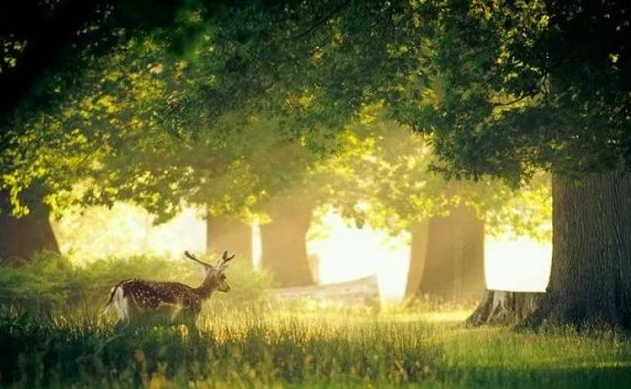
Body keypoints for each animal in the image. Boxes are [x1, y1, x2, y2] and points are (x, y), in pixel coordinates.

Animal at [101, 250, 235, 326]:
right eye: (224, 276)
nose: (228, 288)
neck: (198, 295)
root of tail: (118, 287)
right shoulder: (190, 319)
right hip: (134, 313)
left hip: (122, 313)